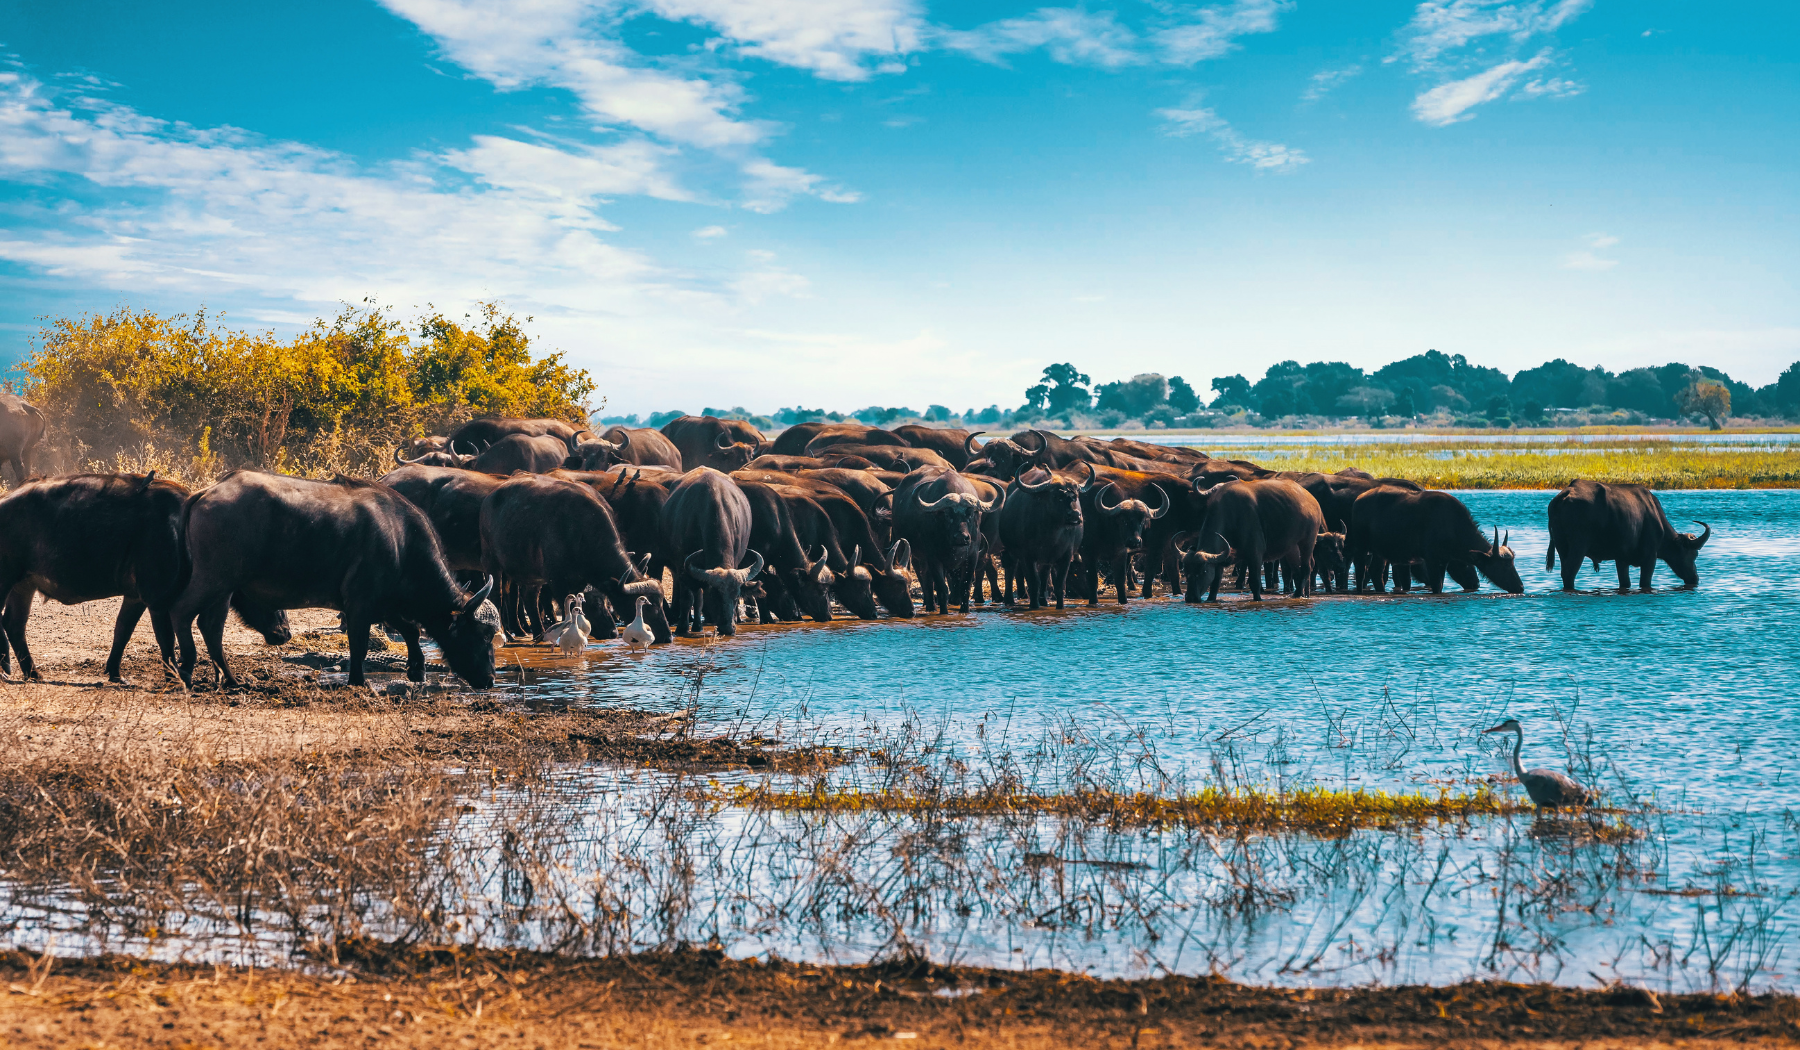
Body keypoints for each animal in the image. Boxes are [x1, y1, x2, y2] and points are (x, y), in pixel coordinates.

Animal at [1540, 479, 1706, 590]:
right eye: (1693, 555)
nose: (1695, 578)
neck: (1654, 515)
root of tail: (1565, 494)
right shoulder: (1650, 557)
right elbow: (1644, 582)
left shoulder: (1621, 559)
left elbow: (1625, 582)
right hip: (1578, 546)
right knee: (1570, 572)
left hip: (1561, 547)